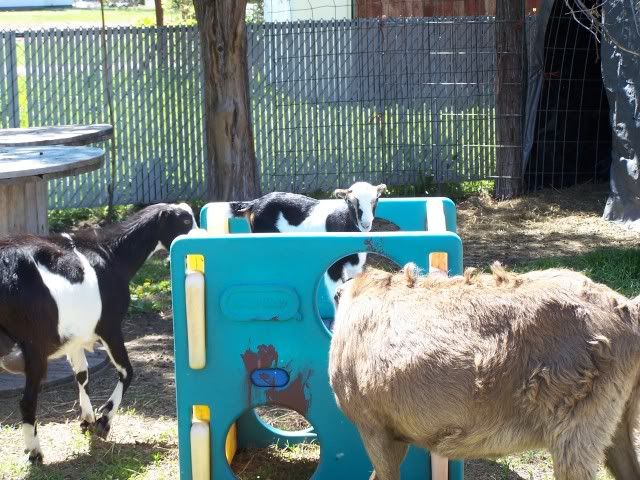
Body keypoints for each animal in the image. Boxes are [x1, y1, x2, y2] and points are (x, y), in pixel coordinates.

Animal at [0, 203, 196, 463]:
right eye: (185, 222)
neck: (111, 253)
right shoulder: (109, 326)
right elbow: (127, 371)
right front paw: (104, 421)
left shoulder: (74, 337)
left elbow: (82, 375)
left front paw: (88, 419)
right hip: (34, 347)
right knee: (27, 401)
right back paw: (35, 452)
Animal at [212, 182, 386, 306]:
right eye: (350, 202)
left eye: (376, 200)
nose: (365, 224)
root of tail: (255, 203)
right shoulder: (332, 267)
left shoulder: (354, 266)